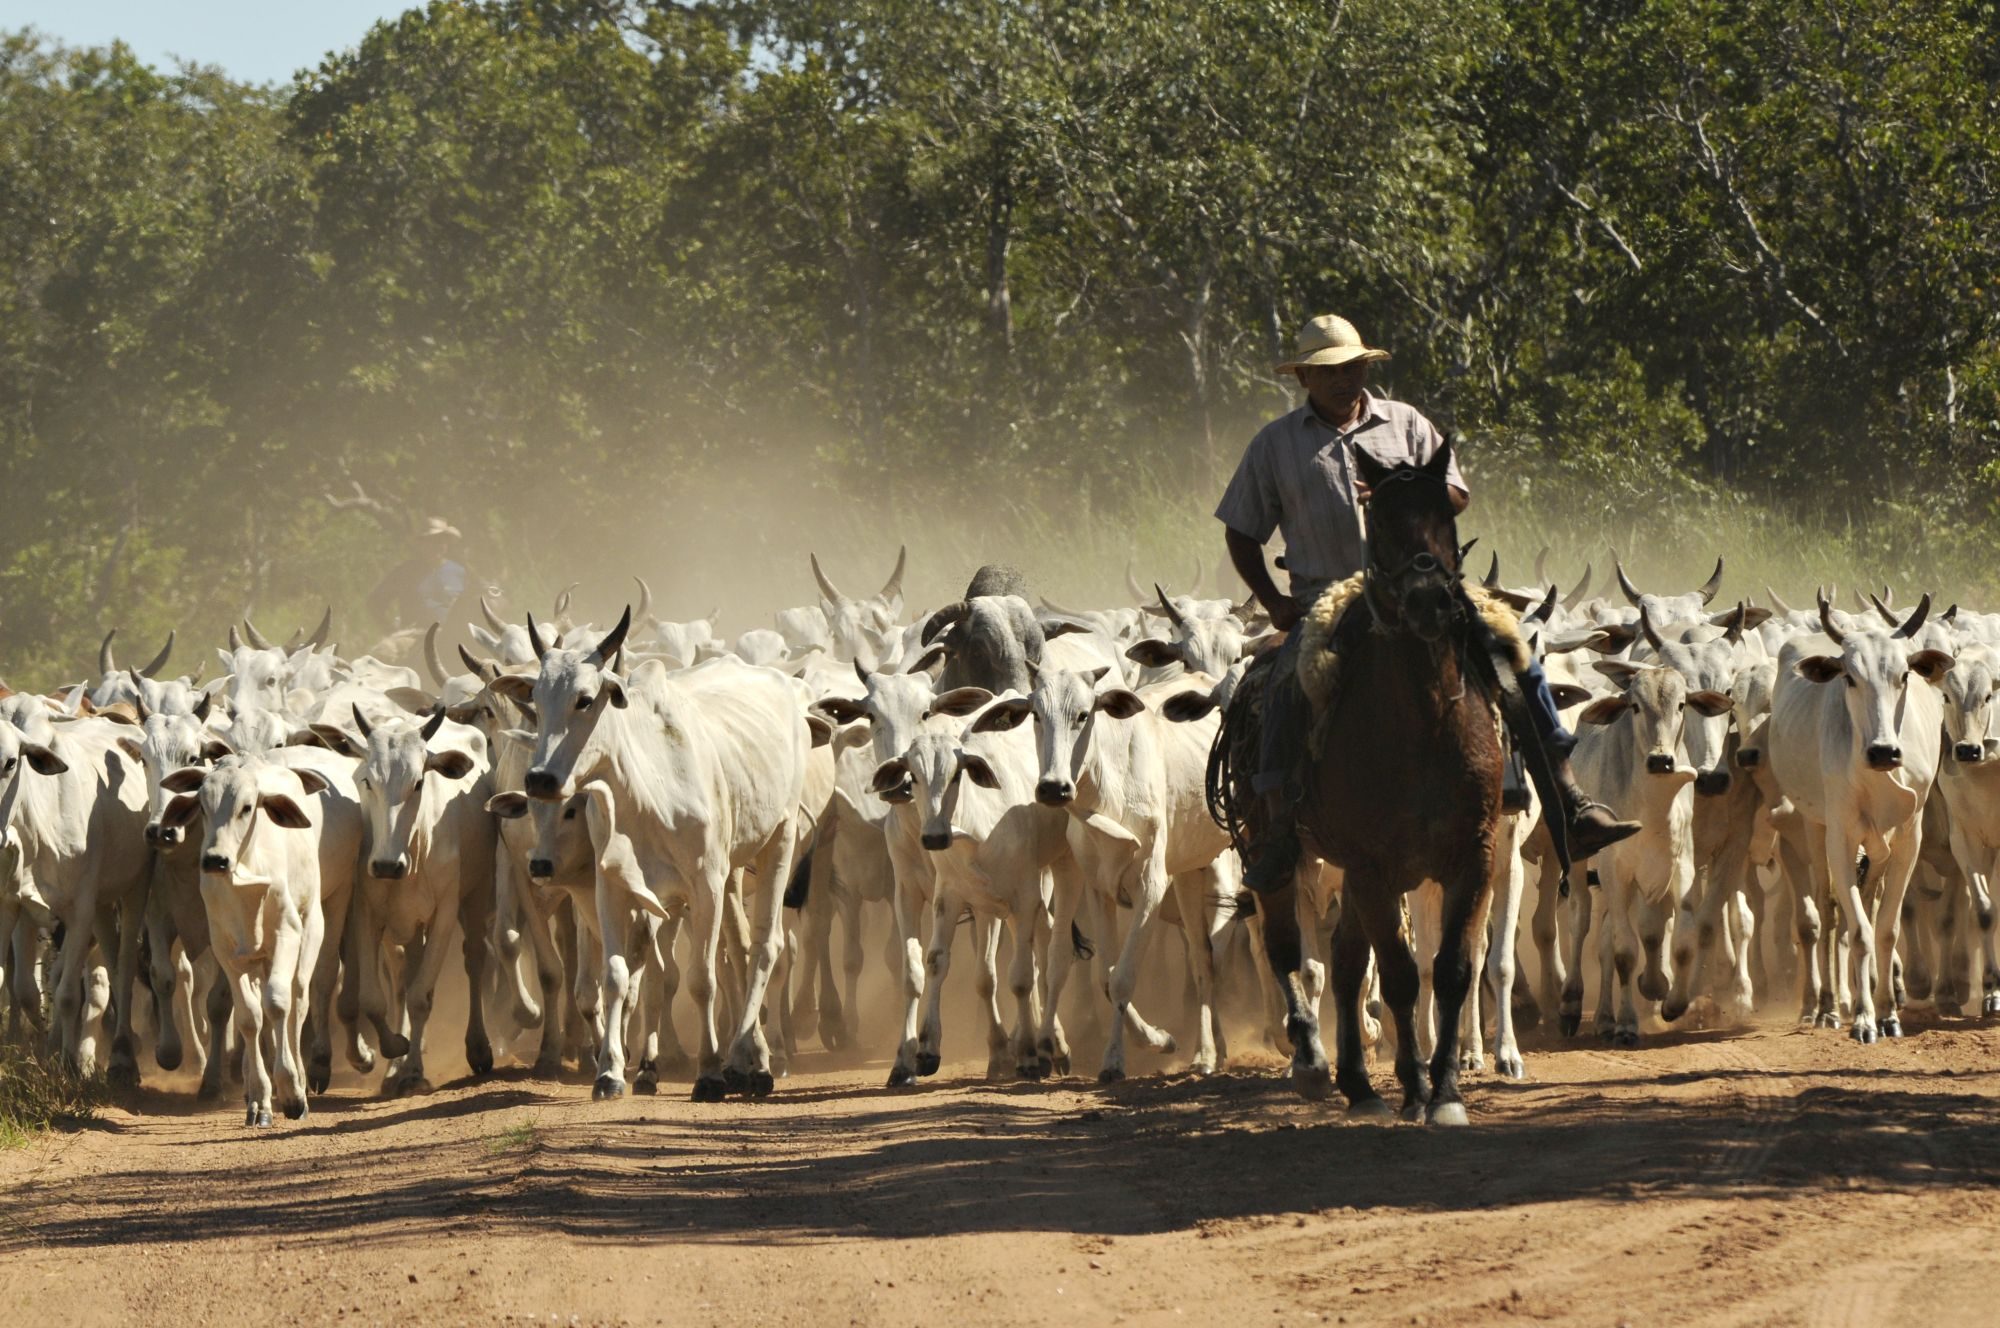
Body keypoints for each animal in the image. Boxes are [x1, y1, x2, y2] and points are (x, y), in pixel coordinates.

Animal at [1264, 440, 1504, 1128]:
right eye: (1383, 522)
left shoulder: (1474, 856)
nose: (1429, 601)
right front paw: (1417, 1087)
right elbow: (1397, 974)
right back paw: (1314, 1062)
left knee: (1346, 963)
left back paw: (1359, 1084)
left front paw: (1446, 1092)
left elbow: (1450, 970)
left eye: (1445, 512)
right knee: (1286, 947)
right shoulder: (1373, 865)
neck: (1424, 725)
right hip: (1278, 848)